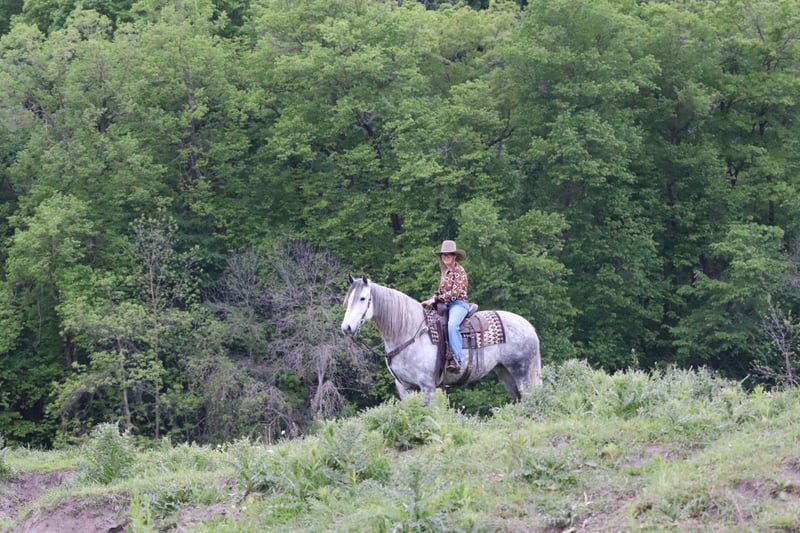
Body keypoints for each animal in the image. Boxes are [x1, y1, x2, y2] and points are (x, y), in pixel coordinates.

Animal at [341, 275, 542, 405]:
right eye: (347, 299)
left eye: (363, 298)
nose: (347, 327)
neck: (409, 332)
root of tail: (528, 326)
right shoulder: (405, 387)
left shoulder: (427, 386)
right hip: (505, 372)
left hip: (521, 371)